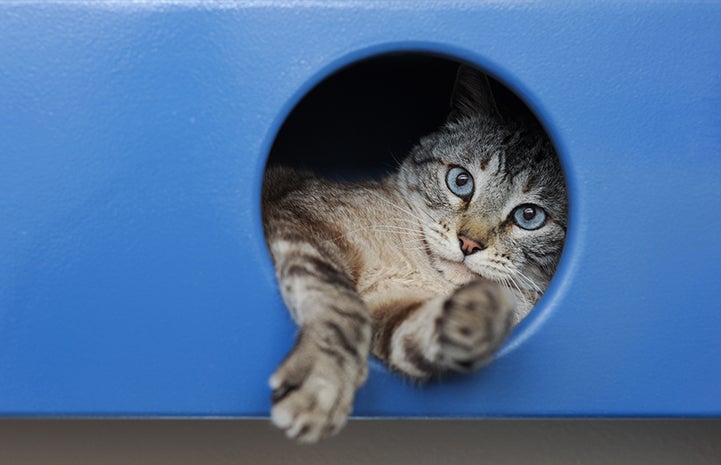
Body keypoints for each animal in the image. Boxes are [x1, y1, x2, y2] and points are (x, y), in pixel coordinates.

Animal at [262, 63, 564, 440]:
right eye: (461, 181)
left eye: (529, 216)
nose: (469, 244)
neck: (422, 271)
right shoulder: (302, 220)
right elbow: (342, 307)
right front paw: (320, 388)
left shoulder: (392, 311)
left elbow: (420, 335)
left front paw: (483, 312)